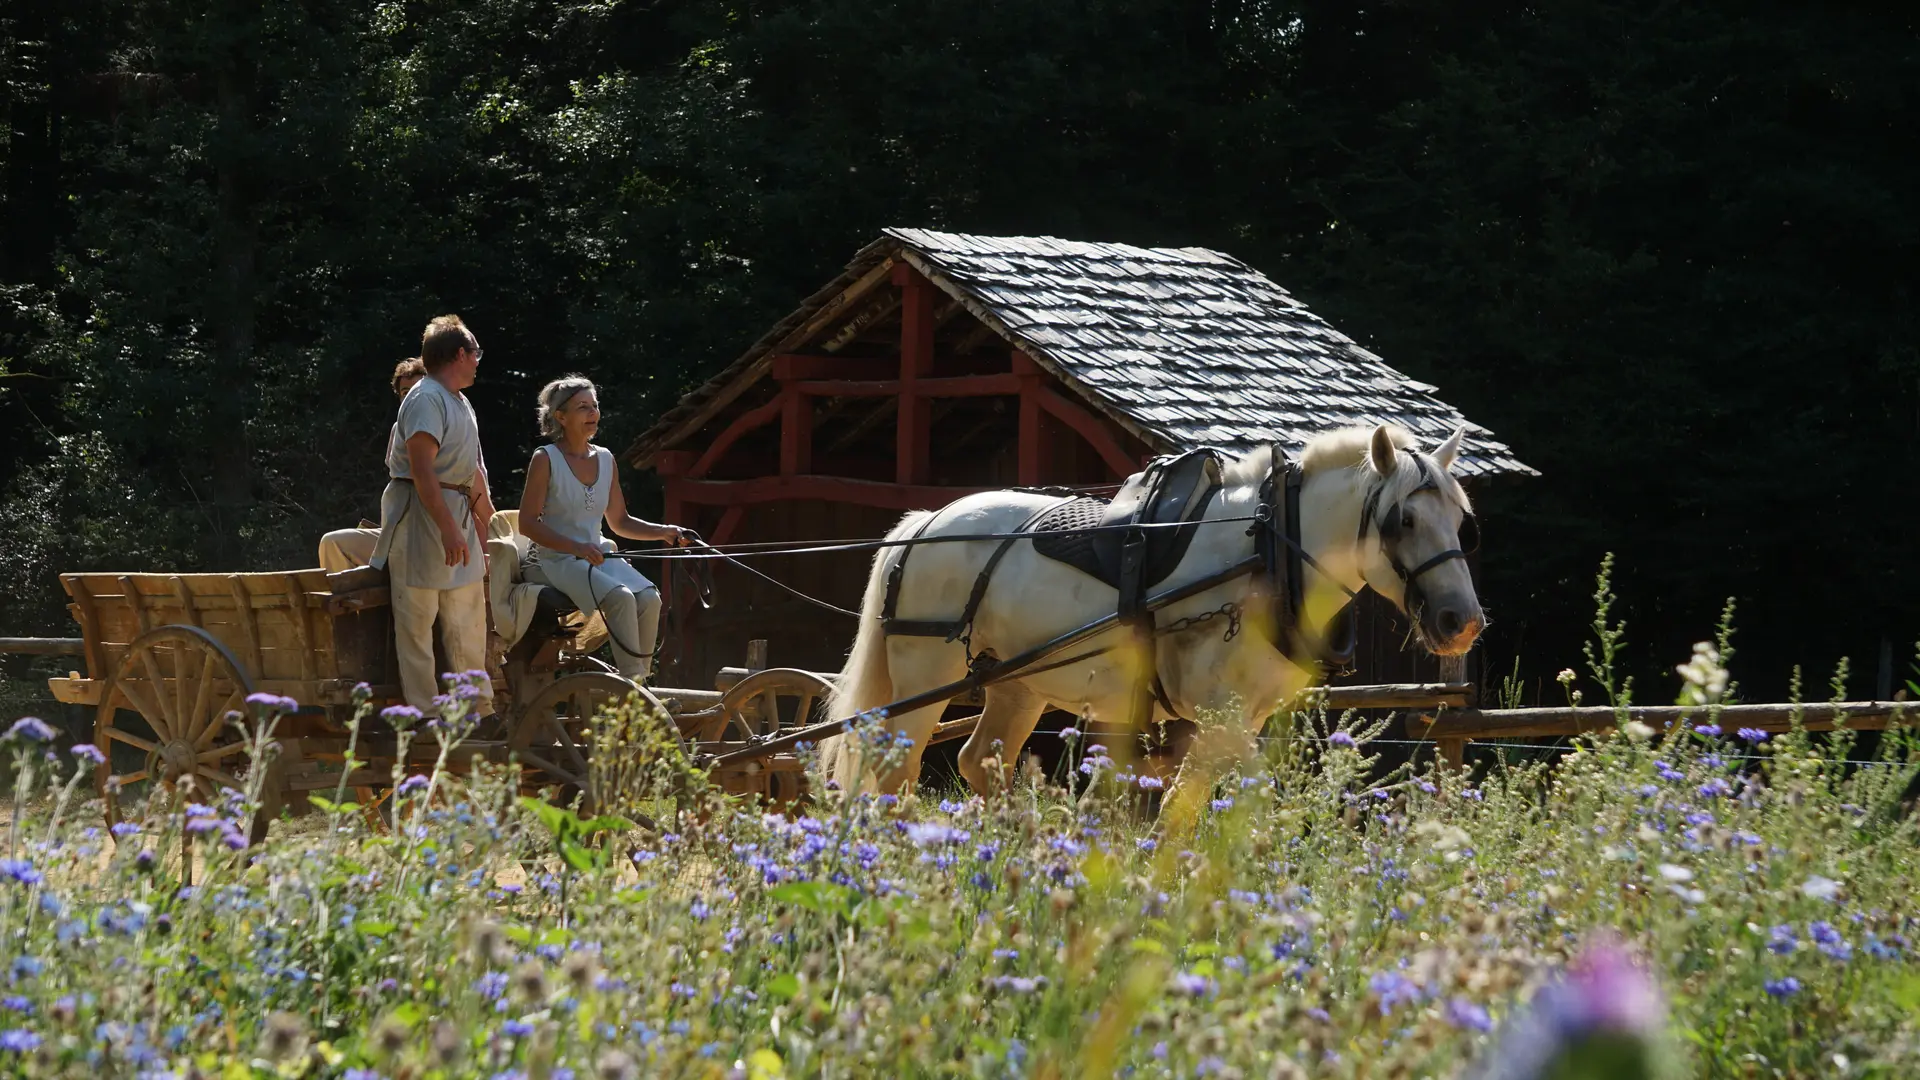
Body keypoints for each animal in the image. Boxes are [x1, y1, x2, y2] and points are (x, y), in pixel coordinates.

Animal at [825, 424, 1482, 803]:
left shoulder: (1240, 720)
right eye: (1404, 521)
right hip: (924, 676)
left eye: (1460, 521)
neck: (1268, 554)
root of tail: (925, 522)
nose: (1462, 622)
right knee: (892, 769)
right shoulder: (1221, 715)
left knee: (981, 760)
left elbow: (1180, 810)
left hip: (1018, 683)